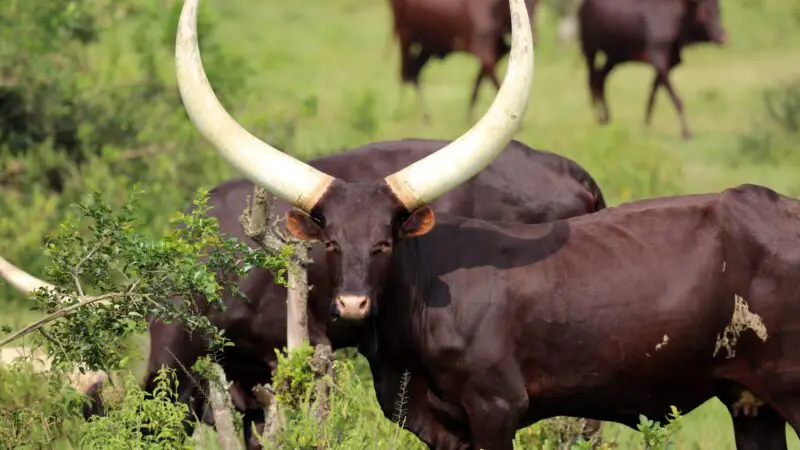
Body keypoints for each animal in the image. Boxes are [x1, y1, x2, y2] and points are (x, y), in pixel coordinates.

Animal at [386, 0, 536, 121]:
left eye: (536, 4)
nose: (534, 36)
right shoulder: (481, 46)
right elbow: (496, 81)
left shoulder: (497, 49)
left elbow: (481, 77)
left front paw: (469, 115)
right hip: (405, 36)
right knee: (405, 73)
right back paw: (405, 112)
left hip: (429, 45)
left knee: (413, 72)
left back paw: (426, 116)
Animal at [580, 0, 728, 140]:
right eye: (704, 13)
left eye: (719, 10)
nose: (724, 38)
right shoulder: (659, 57)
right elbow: (676, 98)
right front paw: (686, 132)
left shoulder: (667, 63)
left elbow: (652, 95)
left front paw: (646, 125)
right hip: (590, 49)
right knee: (591, 81)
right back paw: (599, 118)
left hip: (615, 56)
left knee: (600, 79)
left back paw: (607, 118)